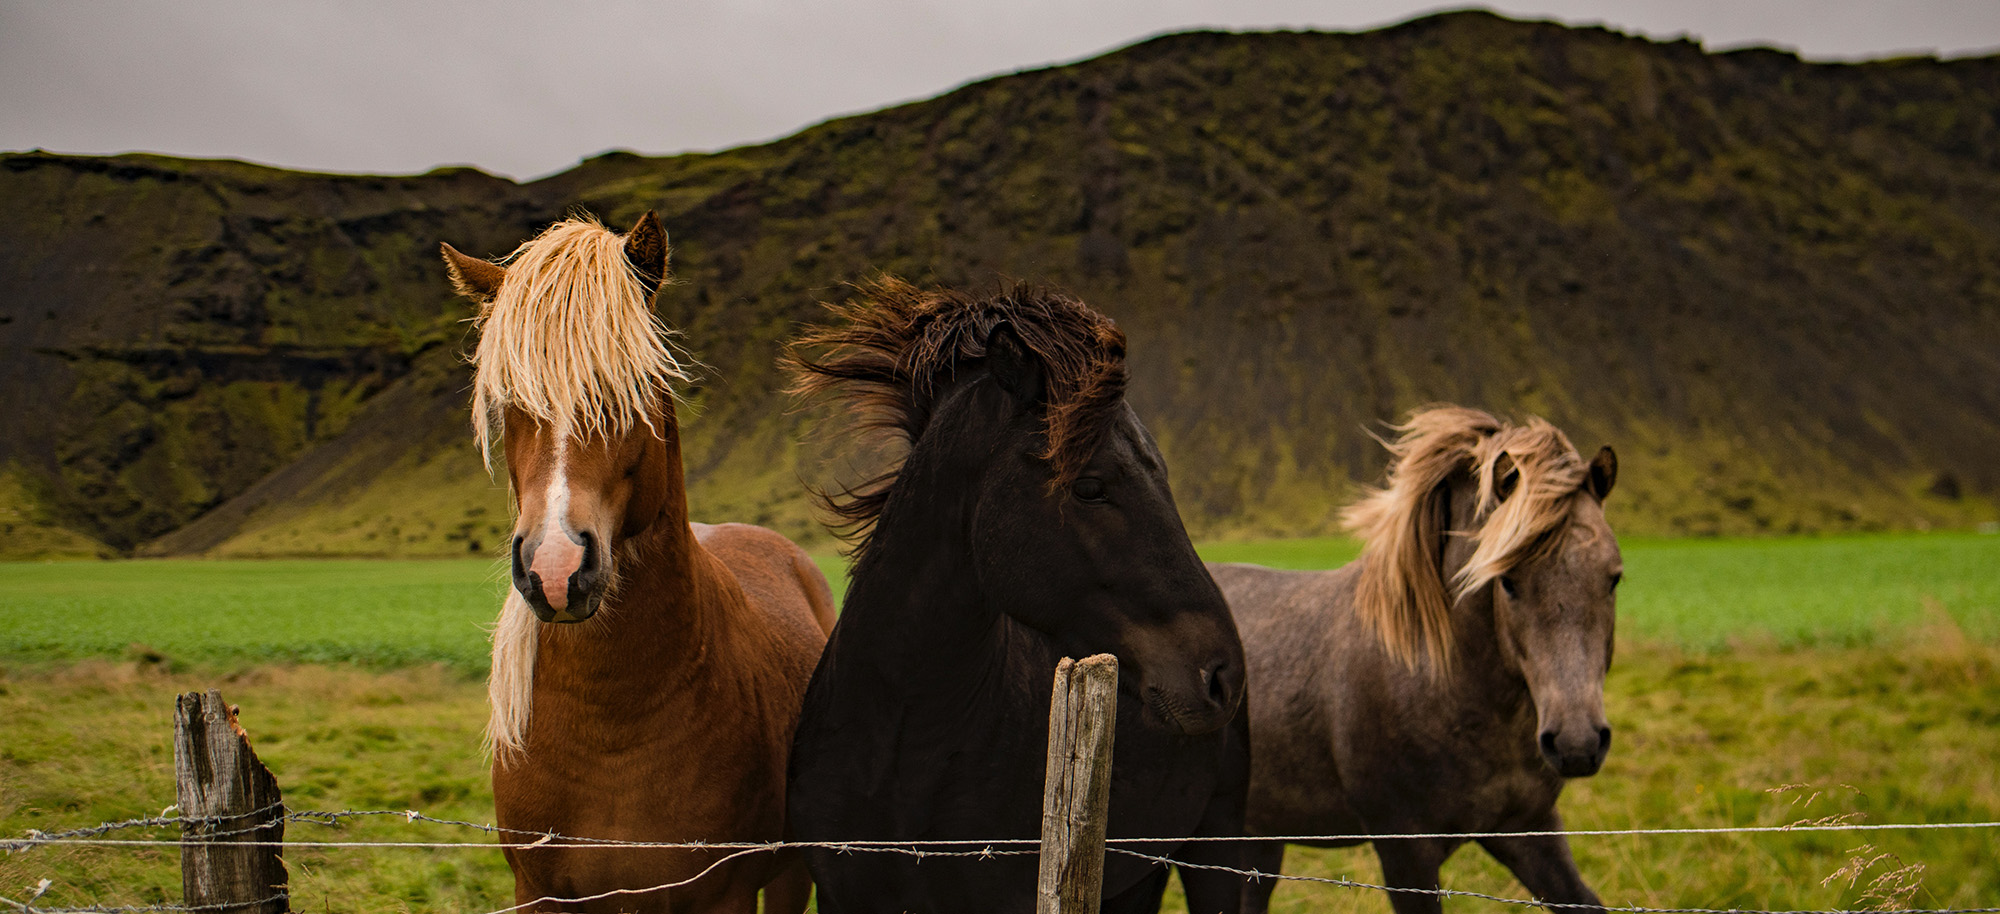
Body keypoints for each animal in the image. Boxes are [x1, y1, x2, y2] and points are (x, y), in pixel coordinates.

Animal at [442, 212, 840, 912]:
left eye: (630, 387)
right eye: (509, 400)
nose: (554, 568)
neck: (612, 725)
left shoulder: (723, 894)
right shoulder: (535, 891)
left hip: (791, 871)